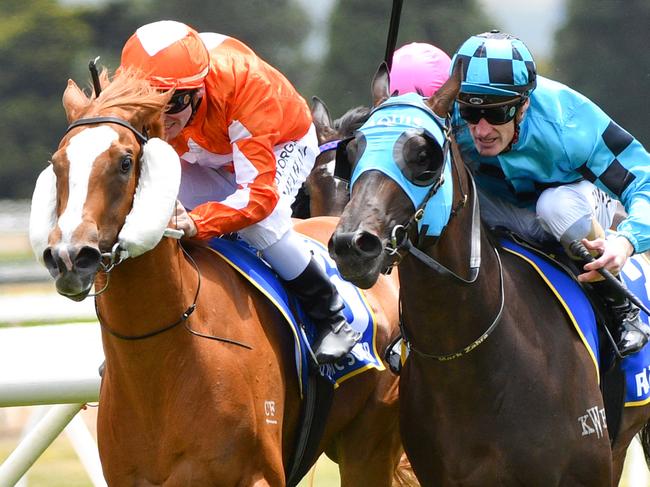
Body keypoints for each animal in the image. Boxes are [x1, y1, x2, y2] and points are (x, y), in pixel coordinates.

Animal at [27, 70, 412, 486]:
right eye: (57, 164)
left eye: (125, 162)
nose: (69, 256)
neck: (163, 355)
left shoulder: (257, 474)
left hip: (368, 446)